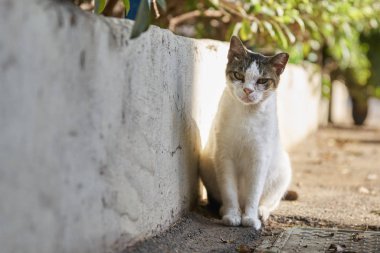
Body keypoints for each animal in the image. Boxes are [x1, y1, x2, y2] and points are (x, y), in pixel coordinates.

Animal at [200, 36, 292, 231]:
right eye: (238, 76)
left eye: (262, 81)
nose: (248, 90)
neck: (246, 115)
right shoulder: (224, 155)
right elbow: (229, 190)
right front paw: (232, 215)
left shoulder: (259, 157)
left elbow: (254, 192)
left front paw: (250, 217)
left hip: (284, 170)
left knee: (270, 201)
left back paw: (261, 211)